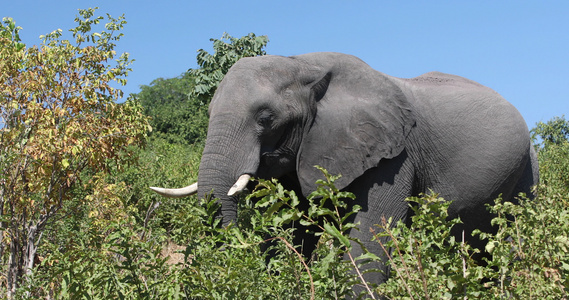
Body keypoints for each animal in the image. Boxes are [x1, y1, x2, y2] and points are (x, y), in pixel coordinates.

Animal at [150, 52, 536, 290]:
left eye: (265, 118)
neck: (302, 65)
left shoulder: (394, 155)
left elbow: (370, 234)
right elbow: (297, 232)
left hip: (526, 171)